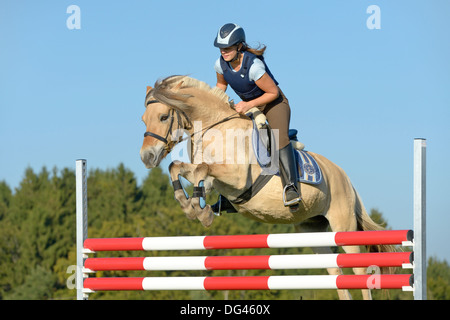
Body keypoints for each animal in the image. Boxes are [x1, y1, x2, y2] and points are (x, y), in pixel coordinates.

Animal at [140, 75, 394, 300]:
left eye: (163, 117)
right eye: (143, 119)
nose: (146, 157)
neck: (216, 128)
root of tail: (345, 178)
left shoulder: (236, 177)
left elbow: (201, 169)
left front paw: (199, 210)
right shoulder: (210, 177)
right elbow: (178, 167)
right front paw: (192, 206)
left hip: (343, 225)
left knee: (359, 272)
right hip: (312, 230)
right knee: (336, 273)